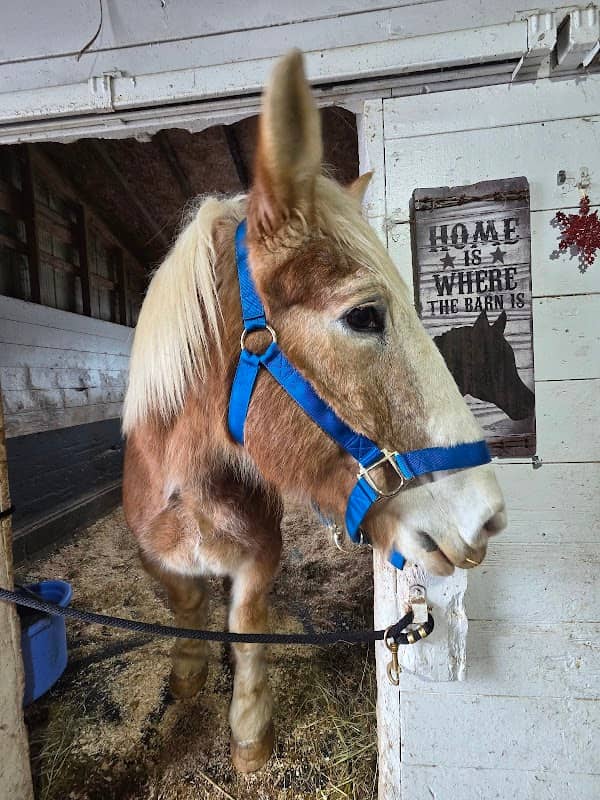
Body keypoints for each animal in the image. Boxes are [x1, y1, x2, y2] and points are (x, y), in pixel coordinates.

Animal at [122, 50, 506, 773]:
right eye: (364, 316)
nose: (488, 516)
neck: (189, 484)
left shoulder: (256, 562)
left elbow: (245, 628)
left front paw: (249, 737)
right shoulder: (153, 557)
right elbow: (184, 603)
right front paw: (187, 675)